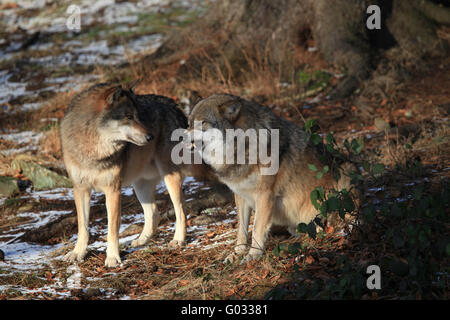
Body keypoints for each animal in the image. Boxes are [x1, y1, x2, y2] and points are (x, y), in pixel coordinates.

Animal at [60, 83, 192, 268]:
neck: (94, 150)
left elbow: (112, 228)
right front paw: (78, 253)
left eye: (138, 116)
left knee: (181, 209)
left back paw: (178, 240)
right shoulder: (80, 188)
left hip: (169, 177)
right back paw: (141, 241)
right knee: (154, 213)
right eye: (129, 116)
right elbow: (83, 227)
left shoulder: (113, 189)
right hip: (140, 185)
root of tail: (174, 105)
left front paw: (113, 258)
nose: (150, 136)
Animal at [186, 94, 356, 264]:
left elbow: (256, 228)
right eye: (189, 123)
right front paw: (237, 253)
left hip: (346, 172)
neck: (241, 148)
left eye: (202, 122)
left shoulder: (265, 194)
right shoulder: (240, 195)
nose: (182, 136)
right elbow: (242, 230)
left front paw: (253, 255)